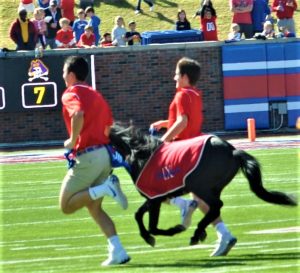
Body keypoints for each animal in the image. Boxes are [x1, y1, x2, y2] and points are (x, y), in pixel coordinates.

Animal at [109, 125, 296, 246]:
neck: (141, 153)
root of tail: (233, 151)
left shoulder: (155, 198)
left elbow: (151, 225)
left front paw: (172, 230)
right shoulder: (155, 197)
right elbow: (139, 215)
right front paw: (149, 237)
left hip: (201, 187)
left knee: (216, 205)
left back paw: (197, 233)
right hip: (212, 188)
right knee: (215, 208)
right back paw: (202, 233)